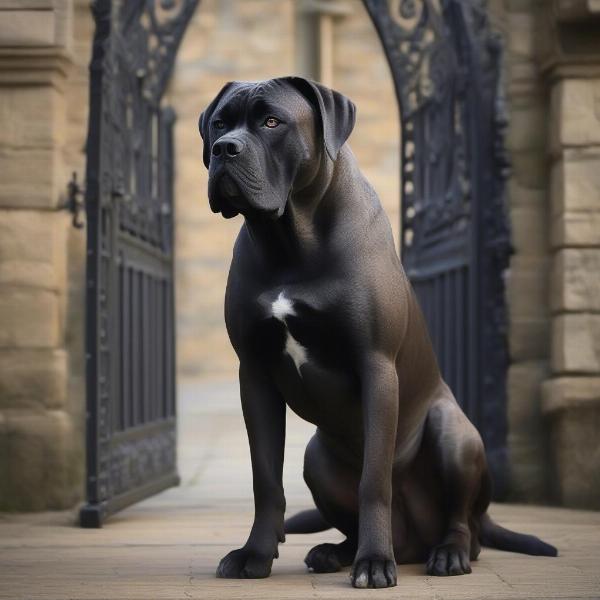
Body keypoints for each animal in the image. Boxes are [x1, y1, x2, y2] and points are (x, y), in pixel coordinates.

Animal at [198, 77, 556, 588]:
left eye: (271, 121)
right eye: (220, 123)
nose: (225, 148)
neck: (289, 239)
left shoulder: (377, 366)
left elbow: (374, 479)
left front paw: (373, 563)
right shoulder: (255, 374)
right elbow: (265, 478)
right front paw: (255, 555)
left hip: (453, 432)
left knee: (463, 524)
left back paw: (444, 554)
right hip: (317, 458)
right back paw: (336, 551)